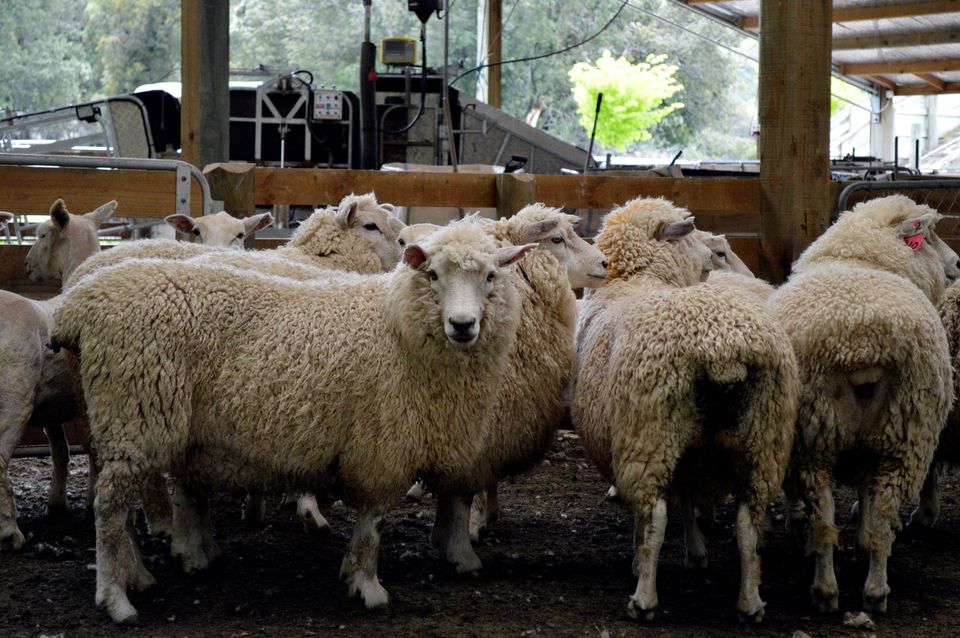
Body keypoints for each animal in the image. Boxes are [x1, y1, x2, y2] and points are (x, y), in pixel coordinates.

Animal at [0, 198, 116, 550]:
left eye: (39, 235)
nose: (26, 264)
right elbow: (78, 450)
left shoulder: (52, 406)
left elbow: (64, 451)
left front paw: (59, 504)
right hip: (13, 396)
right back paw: (9, 531)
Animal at [51, 218, 533, 624]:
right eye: (432, 275)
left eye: (491, 277)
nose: (463, 324)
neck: (397, 326)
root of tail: (81, 303)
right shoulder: (382, 446)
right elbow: (373, 524)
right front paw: (368, 587)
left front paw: (351, 574)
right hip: (137, 416)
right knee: (110, 509)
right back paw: (116, 598)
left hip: (124, 422)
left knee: (121, 506)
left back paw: (139, 575)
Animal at [572, 197, 798, 622]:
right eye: (691, 236)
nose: (708, 258)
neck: (639, 279)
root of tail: (723, 349)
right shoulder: (693, 452)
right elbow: (691, 500)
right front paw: (696, 552)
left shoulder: (634, 439)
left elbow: (653, 512)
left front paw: (640, 559)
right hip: (761, 438)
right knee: (748, 520)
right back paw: (750, 601)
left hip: (652, 435)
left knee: (657, 515)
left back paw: (644, 598)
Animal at [769, 194, 958, 614]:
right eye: (930, 236)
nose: (958, 265)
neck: (859, 257)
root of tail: (861, 344)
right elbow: (867, 502)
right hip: (897, 434)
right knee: (877, 516)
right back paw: (864, 591)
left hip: (830, 439)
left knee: (831, 519)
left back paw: (837, 591)